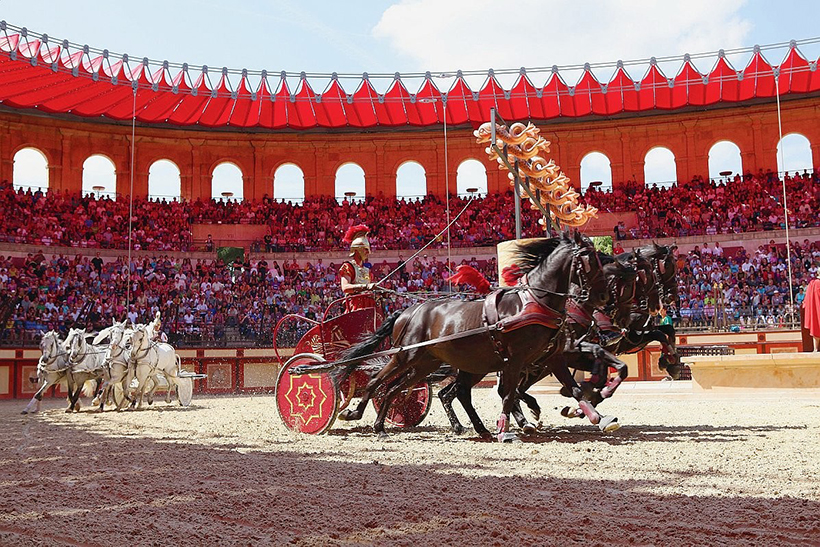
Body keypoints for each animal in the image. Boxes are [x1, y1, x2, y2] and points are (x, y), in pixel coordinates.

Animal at [334, 230, 608, 440]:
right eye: (590, 260)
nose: (602, 297)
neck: (535, 302)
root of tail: (408, 311)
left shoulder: (553, 357)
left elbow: (574, 389)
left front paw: (600, 418)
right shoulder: (515, 360)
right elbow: (508, 394)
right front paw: (506, 429)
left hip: (432, 364)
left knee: (403, 390)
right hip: (406, 356)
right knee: (377, 381)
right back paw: (355, 414)